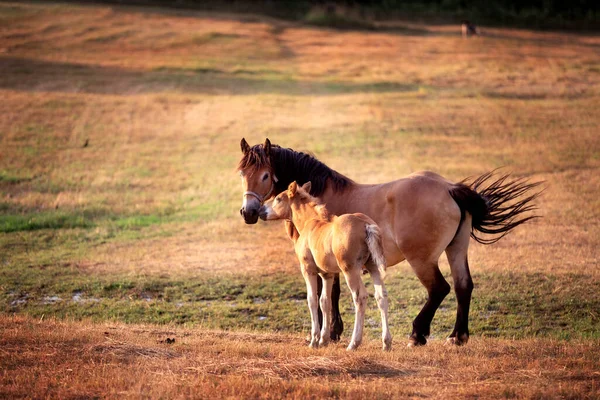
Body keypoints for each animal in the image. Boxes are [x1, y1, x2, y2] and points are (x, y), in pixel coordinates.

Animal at [260, 180, 392, 350]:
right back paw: (386, 343)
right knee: (381, 296)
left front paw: (314, 340)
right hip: (373, 266)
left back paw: (353, 343)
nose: (261, 210)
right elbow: (325, 301)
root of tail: (366, 225)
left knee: (360, 297)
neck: (310, 223)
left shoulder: (308, 270)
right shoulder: (327, 274)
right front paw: (324, 340)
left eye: (278, 199)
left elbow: (312, 300)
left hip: (350, 270)